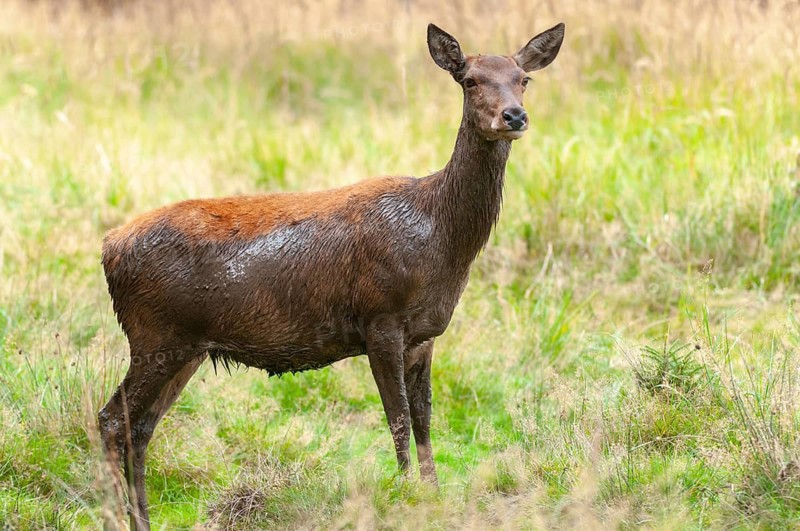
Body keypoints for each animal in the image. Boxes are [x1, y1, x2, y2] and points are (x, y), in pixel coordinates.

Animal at [98, 22, 564, 530]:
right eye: (470, 80)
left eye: (523, 79)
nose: (514, 116)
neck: (441, 240)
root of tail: (108, 249)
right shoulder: (380, 318)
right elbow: (398, 418)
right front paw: (405, 497)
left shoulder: (425, 334)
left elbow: (424, 420)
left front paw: (434, 497)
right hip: (155, 335)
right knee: (111, 419)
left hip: (186, 347)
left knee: (140, 427)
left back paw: (139, 518)